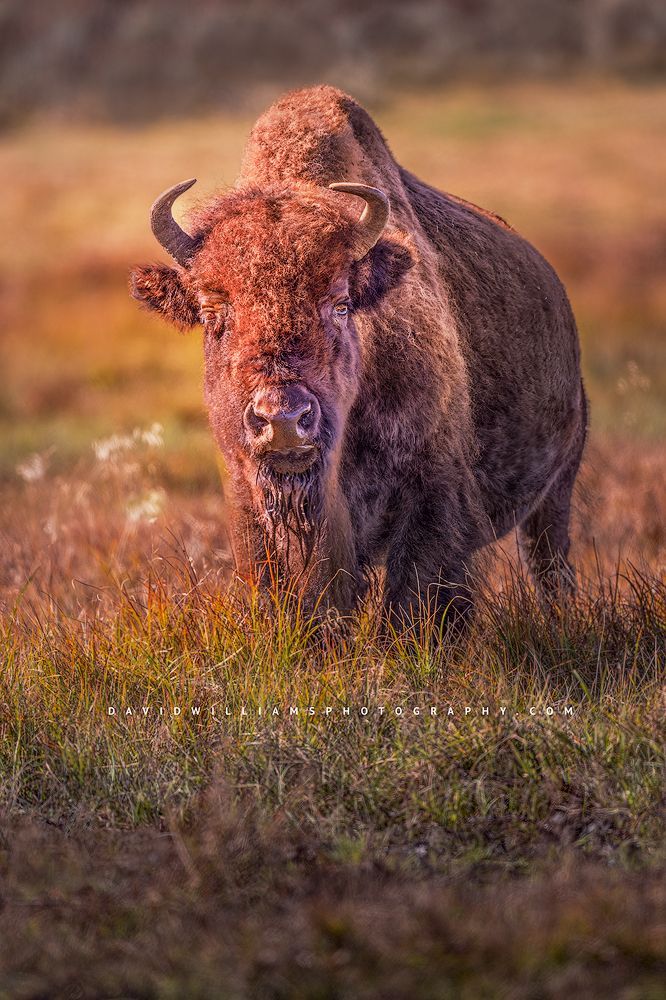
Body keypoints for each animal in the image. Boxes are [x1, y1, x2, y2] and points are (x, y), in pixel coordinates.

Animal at [130, 85, 587, 626]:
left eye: (341, 303)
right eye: (211, 310)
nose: (283, 420)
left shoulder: (432, 498)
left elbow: (411, 602)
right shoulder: (251, 506)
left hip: (557, 490)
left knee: (548, 565)